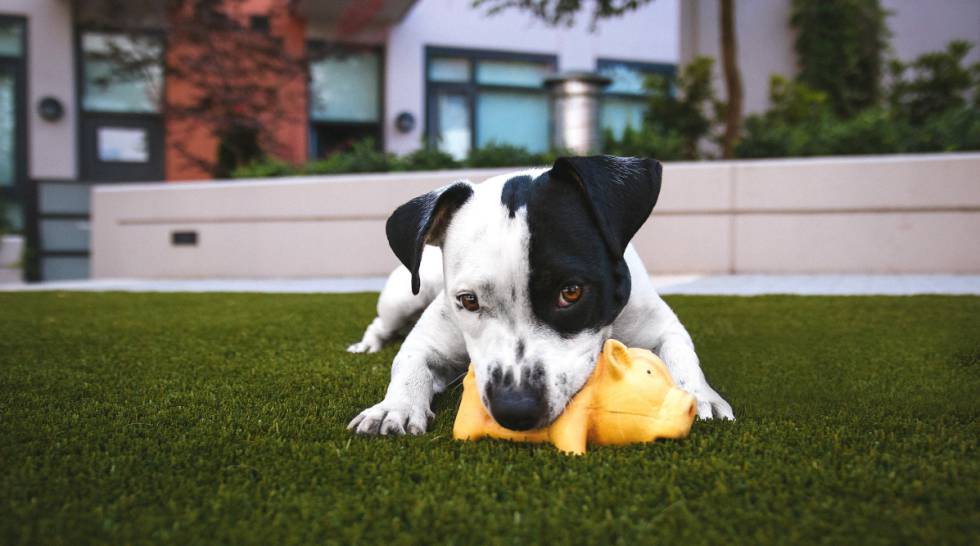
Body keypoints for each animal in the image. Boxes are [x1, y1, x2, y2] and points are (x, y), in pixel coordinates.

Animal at [348, 155, 732, 436]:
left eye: (571, 292)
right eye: (468, 300)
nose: (515, 409)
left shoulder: (660, 325)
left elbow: (682, 355)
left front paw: (700, 395)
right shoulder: (429, 340)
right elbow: (409, 364)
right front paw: (394, 407)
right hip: (403, 297)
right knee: (380, 324)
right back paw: (367, 346)